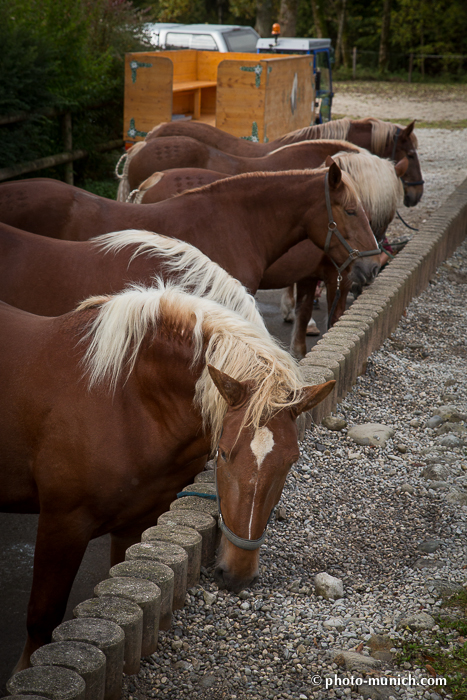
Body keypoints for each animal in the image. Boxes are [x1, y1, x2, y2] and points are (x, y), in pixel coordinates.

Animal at [0, 280, 336, 672]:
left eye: (291, 460)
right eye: (223, 452)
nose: (238, 573)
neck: (122, 398)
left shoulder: (136, 525)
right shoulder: (62, 523)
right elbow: (42, 617)